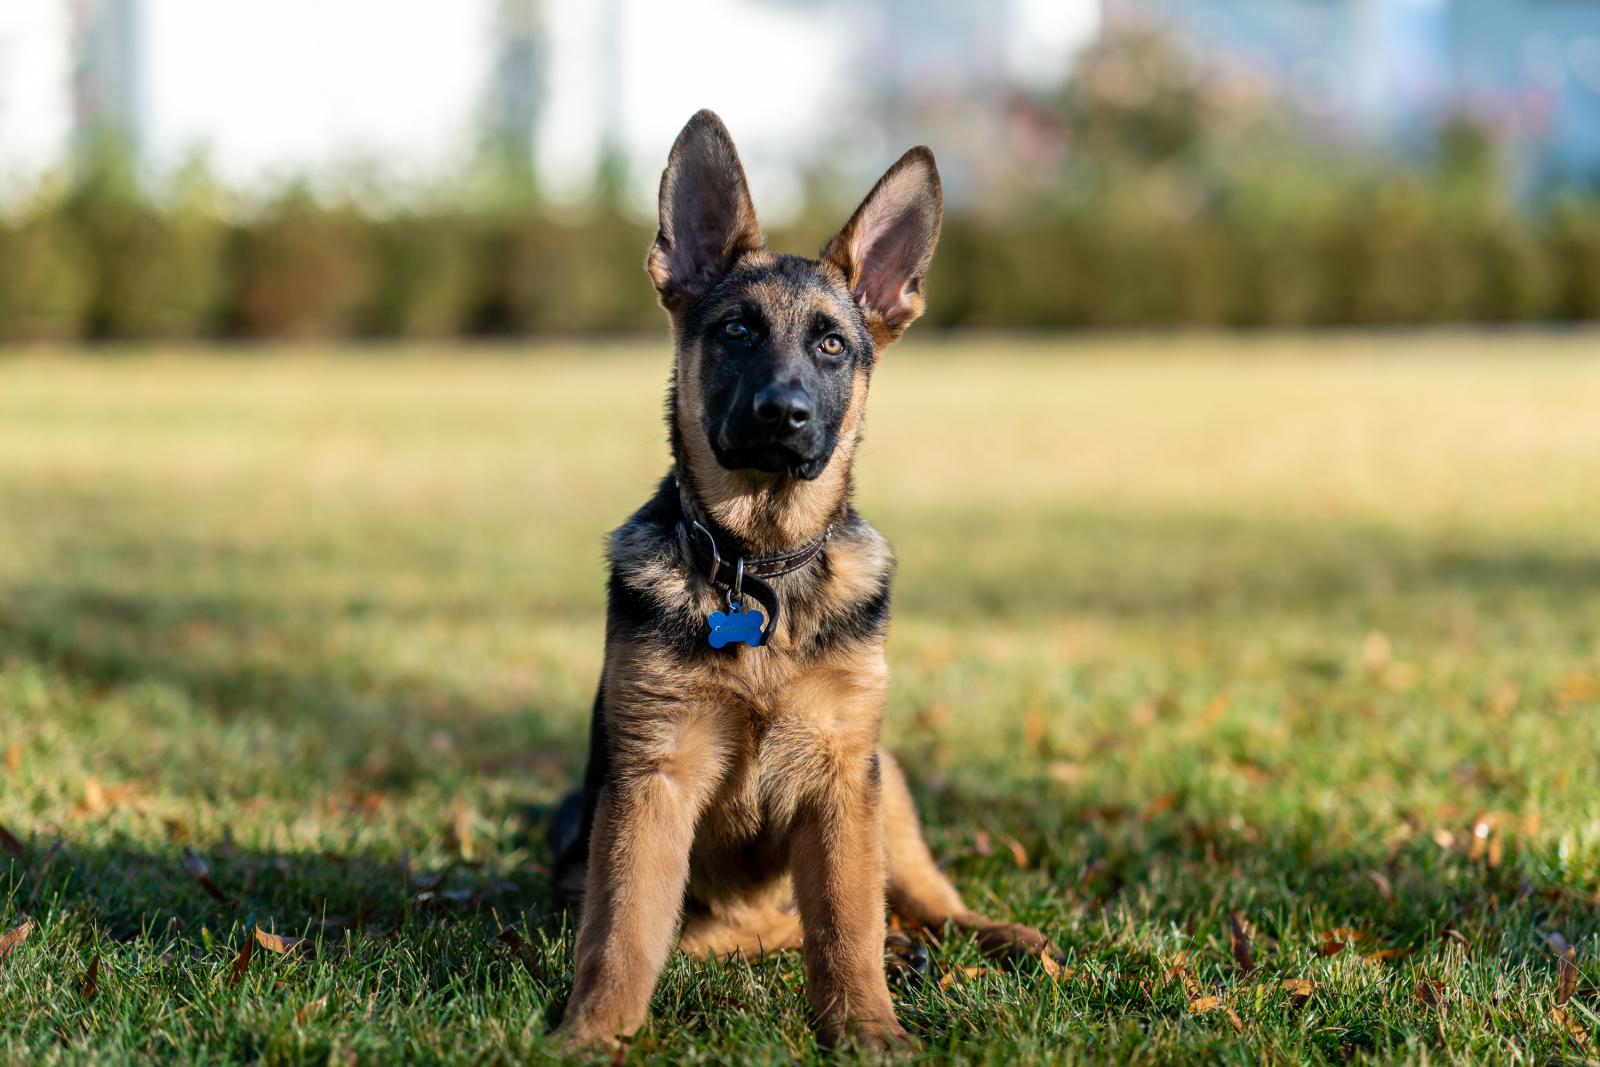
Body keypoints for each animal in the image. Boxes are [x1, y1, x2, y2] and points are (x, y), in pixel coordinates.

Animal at [556, 110, 1056, 1049]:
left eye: (831, 344)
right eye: (737, 331)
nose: (782, 416)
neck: (758, 569)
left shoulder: (839, 778)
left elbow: (845, 918)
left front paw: (865, 1024)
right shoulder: (654, 779)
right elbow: (625, 929)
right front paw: (596, 1032)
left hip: (885, 782)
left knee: (920, 900)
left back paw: (990, 936)